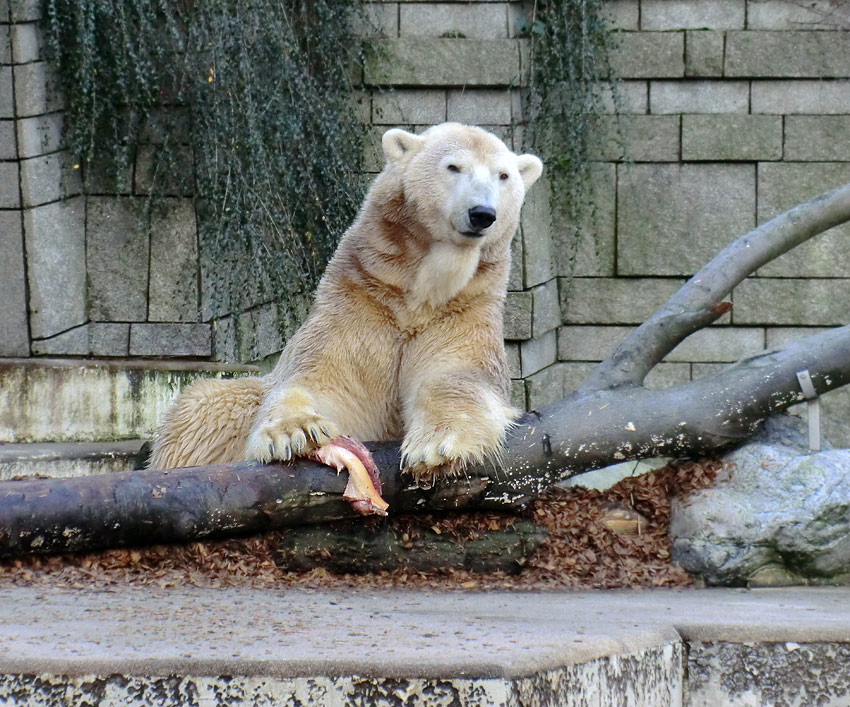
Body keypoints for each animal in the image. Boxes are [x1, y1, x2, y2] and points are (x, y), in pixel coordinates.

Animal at [149, 123, 540, 486]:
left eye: (503, 175)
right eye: (453, 166)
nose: (481, 213)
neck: (421, 294)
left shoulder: (464, 309)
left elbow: (458, 376)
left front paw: (439, 448)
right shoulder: (360, 301)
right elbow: (326, 379)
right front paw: (296, 432)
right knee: (204, 408)